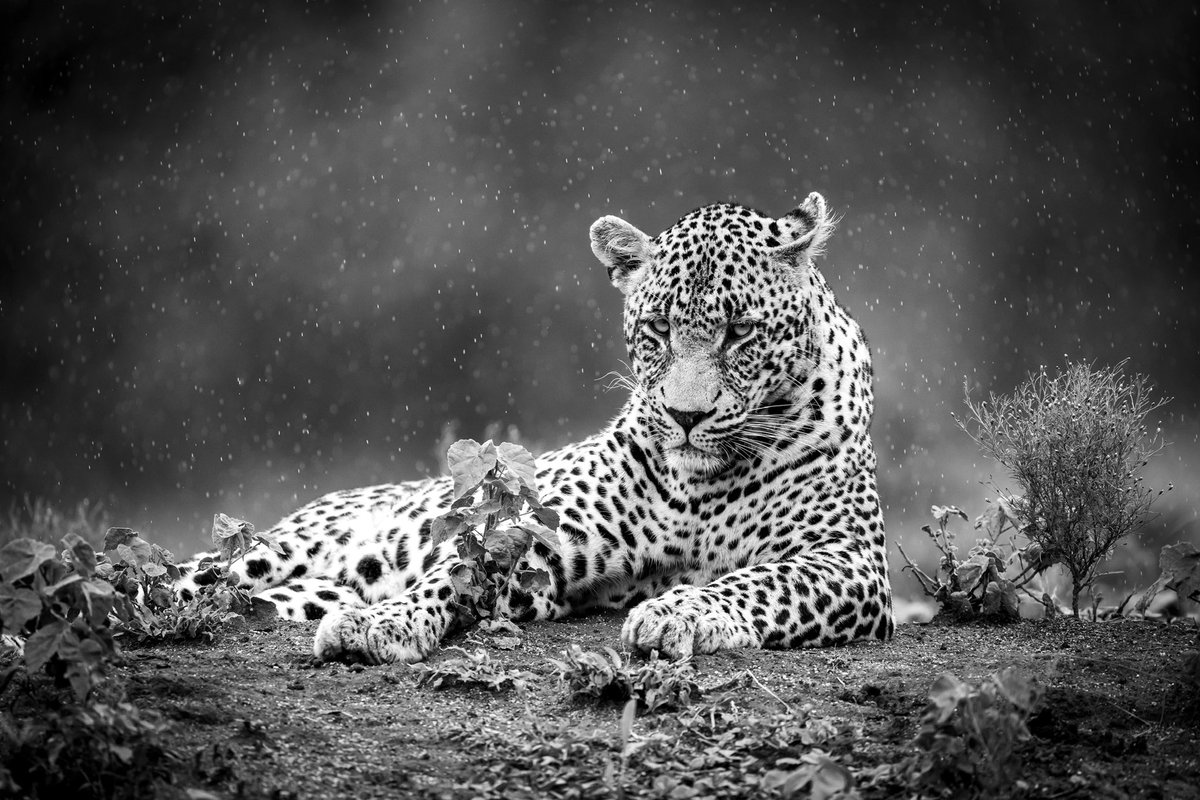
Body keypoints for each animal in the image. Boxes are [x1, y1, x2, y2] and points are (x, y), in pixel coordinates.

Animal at [176, 191, 894, 663]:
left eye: (740, 331)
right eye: (658, 328)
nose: (685, 417)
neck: (701, 487)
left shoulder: (850, 559)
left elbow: (758, 581)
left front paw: (676, 613)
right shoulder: (535, 537)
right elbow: (455, 570)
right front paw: (382, 621)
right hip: (268, 552)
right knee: (192, 577)